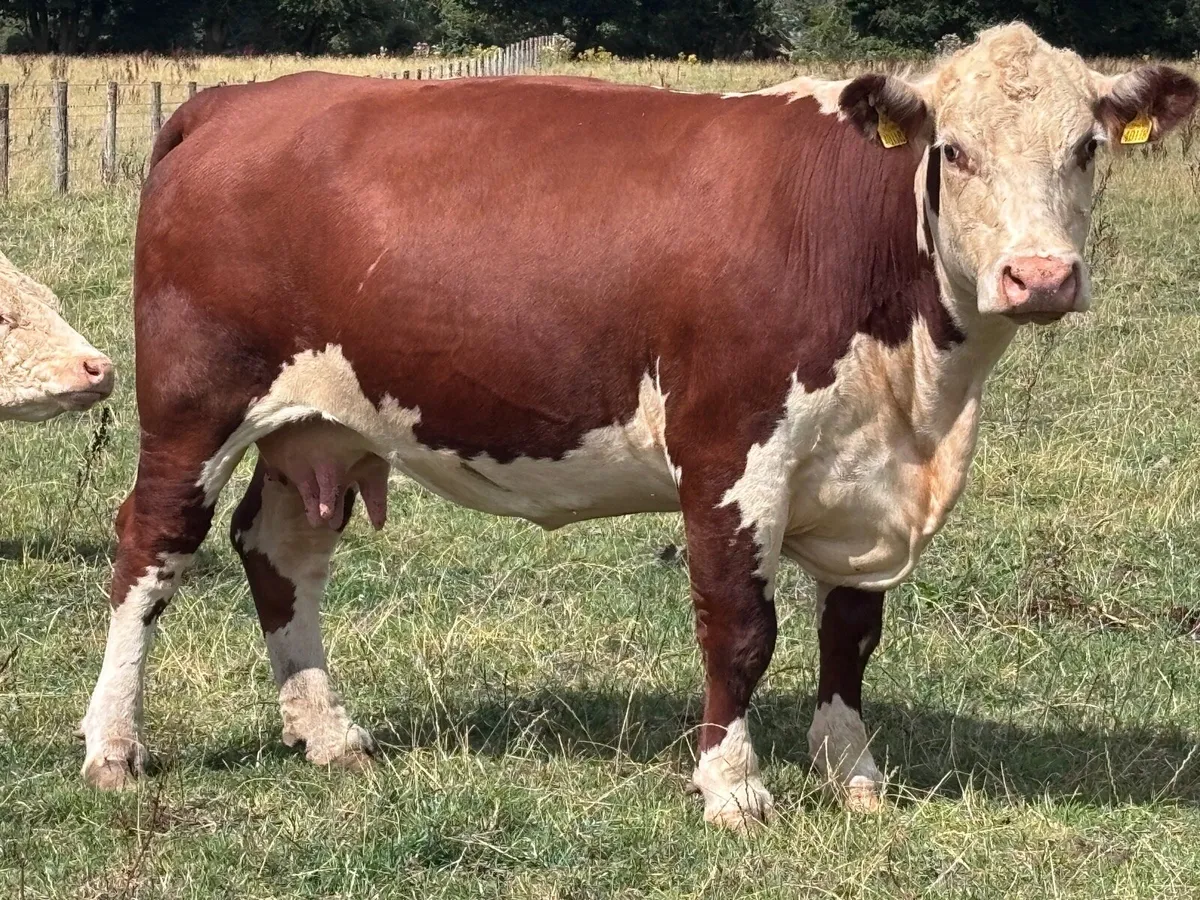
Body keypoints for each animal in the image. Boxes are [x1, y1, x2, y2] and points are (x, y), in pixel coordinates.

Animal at [80, 23, 1197, 829]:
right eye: (954, 152)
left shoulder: (863, 481)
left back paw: (325, 731)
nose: (1040, 277)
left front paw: (853, 774)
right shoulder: (731, 454)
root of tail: (238, 100)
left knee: (280, 552)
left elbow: (851, 631)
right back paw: (113, 747)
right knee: (151, 547)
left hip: (318, 425)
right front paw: (733, 787)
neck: (920, 394)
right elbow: (740, 628)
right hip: (195, 405)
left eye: (1087, 148)